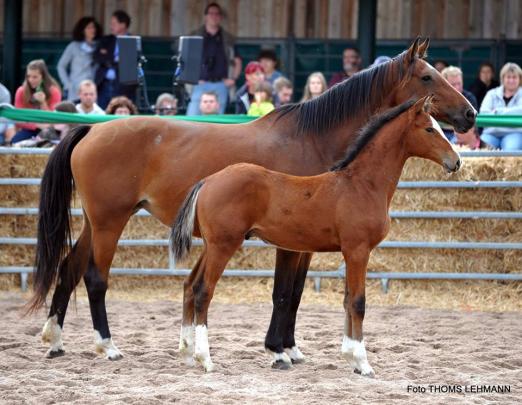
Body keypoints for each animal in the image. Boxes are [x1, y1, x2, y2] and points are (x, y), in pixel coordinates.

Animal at [172, 96, 460, 374]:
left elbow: (346, 300)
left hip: (211, 245)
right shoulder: (358, 250)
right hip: (223, 245)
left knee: (191, 285)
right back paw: (206, 359)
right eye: (430, 129)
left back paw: (188, 353)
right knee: (204, 291)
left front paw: (350, 357)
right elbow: (358, 302)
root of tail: (208, 181)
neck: (361, 185)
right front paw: (363, 363)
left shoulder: (350, 252)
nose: (456, 161)